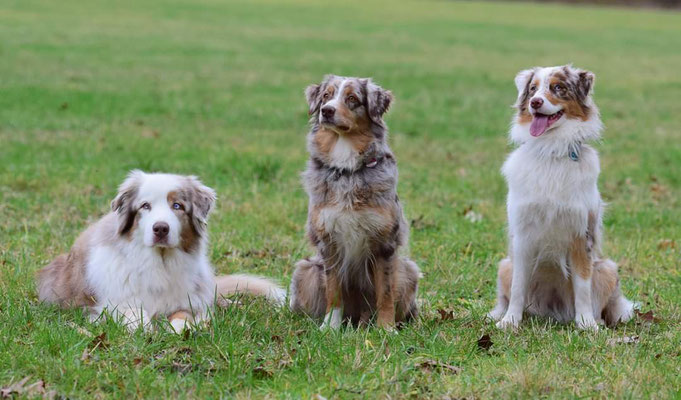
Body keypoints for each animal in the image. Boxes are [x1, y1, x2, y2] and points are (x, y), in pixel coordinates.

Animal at [37, 170, 284, 332]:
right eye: (145, 206)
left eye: (177, 206)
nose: (161, 228)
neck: (159, 263)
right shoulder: (113, 303)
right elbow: (135, 316)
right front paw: (147, 328)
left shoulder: (188, 301)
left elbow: (183, 317)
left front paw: (178, 328)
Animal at [288, 73, 420, 330]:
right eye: (326, 95)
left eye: (352, 99)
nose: (327, 111)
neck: (347, 170)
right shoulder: (328, 242)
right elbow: (333, 290)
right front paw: (330, 327)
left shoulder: (384, 244)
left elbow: (385, 292)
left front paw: (386, 329)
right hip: (306, 269)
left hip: (408, 269)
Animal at [486, 64, 636, 330]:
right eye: (532, 88)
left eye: (558, 87)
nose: (535, 102)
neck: (551, 149)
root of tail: (551, 310)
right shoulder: (522, 235)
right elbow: (517, 288)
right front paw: (510, 322)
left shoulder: (581, 235)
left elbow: (583, 286)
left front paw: (586, 324)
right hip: (504, 265)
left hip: (607, 268)